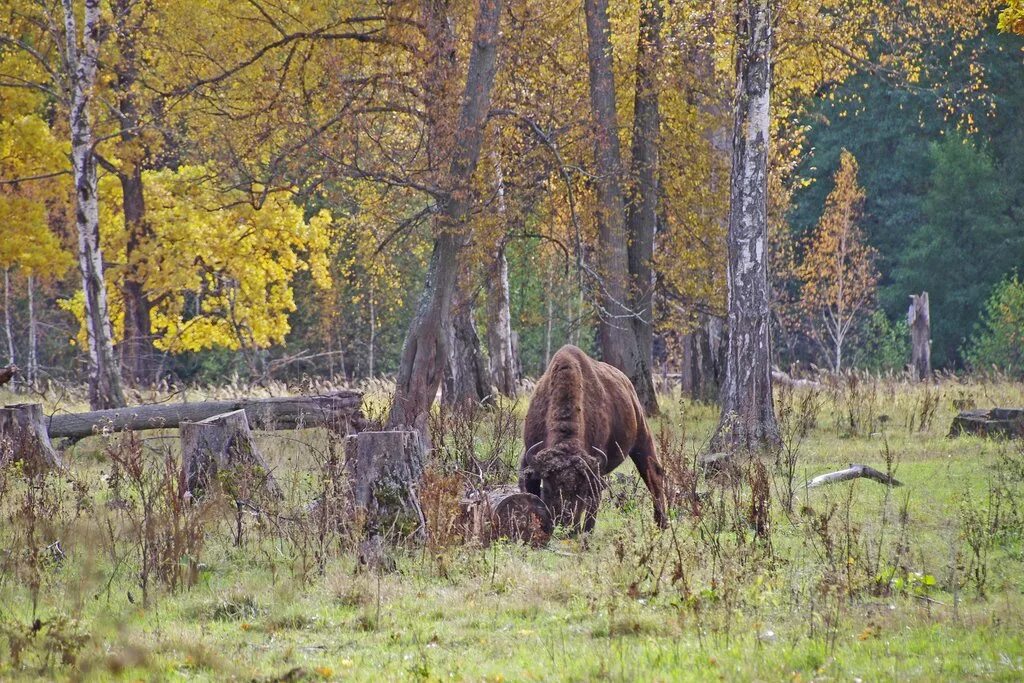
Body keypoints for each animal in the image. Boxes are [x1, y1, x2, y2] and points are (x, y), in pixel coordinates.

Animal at [516, 344, 667, 532]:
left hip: (641, 438)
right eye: (548, 488)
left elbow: (590, 507)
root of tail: (627, 384)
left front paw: (582, 532)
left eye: (581, 491)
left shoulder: (594, 471)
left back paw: (661, 523)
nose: (565, 523)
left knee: (653, 475)